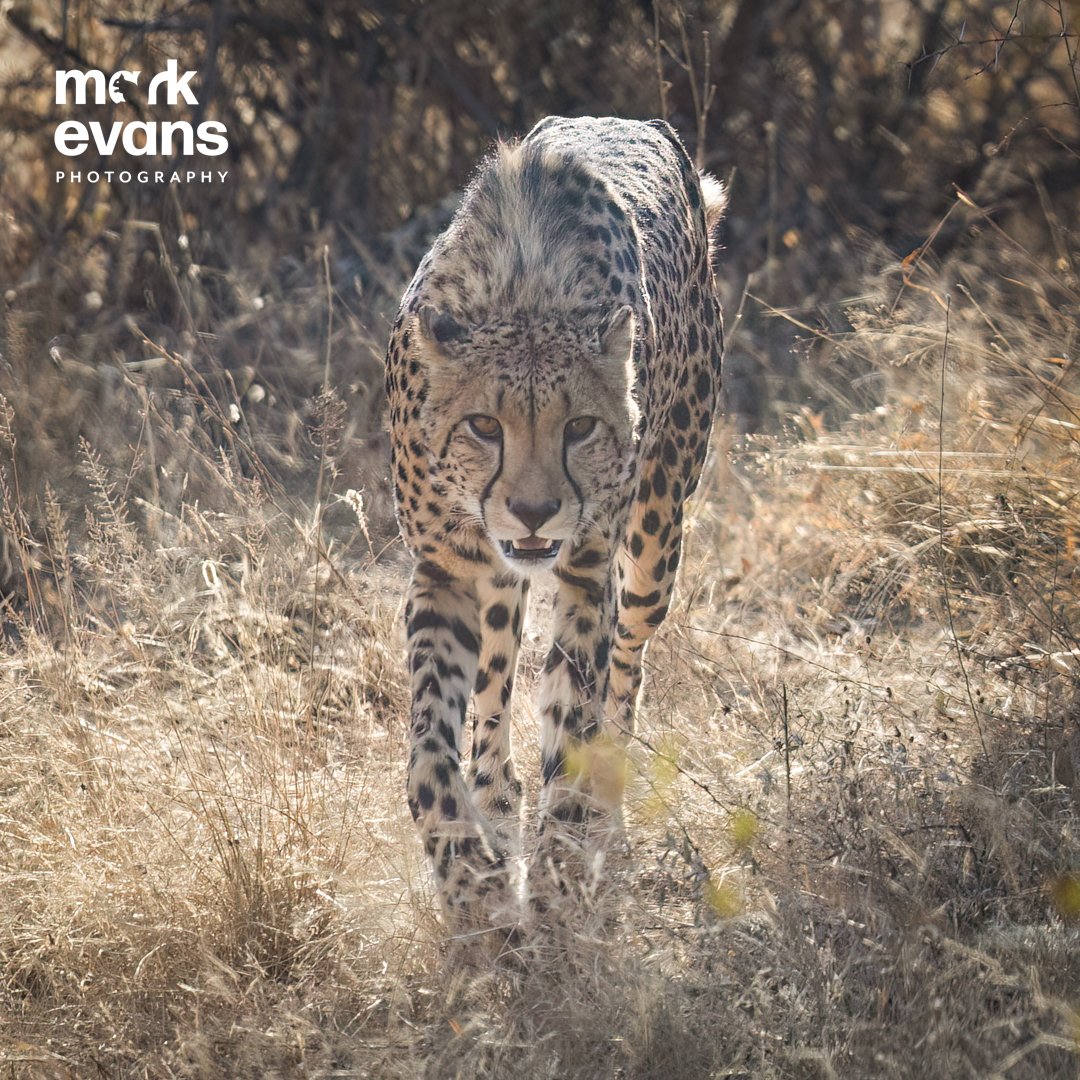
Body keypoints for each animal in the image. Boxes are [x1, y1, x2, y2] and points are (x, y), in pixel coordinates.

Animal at [384, 115, 726, 931]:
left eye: (579, 428)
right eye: (484, 425)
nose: (536, 511)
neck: (523, 296)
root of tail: (641, 122)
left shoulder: (586, 572)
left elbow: (574, 723)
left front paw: (555, 893)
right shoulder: (444, 571)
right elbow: (429, 744)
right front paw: (468, 871)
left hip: (653, 544)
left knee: (626, 673)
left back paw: (604, 819)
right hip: (500, 583)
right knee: (494, 680)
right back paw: (495, 796)